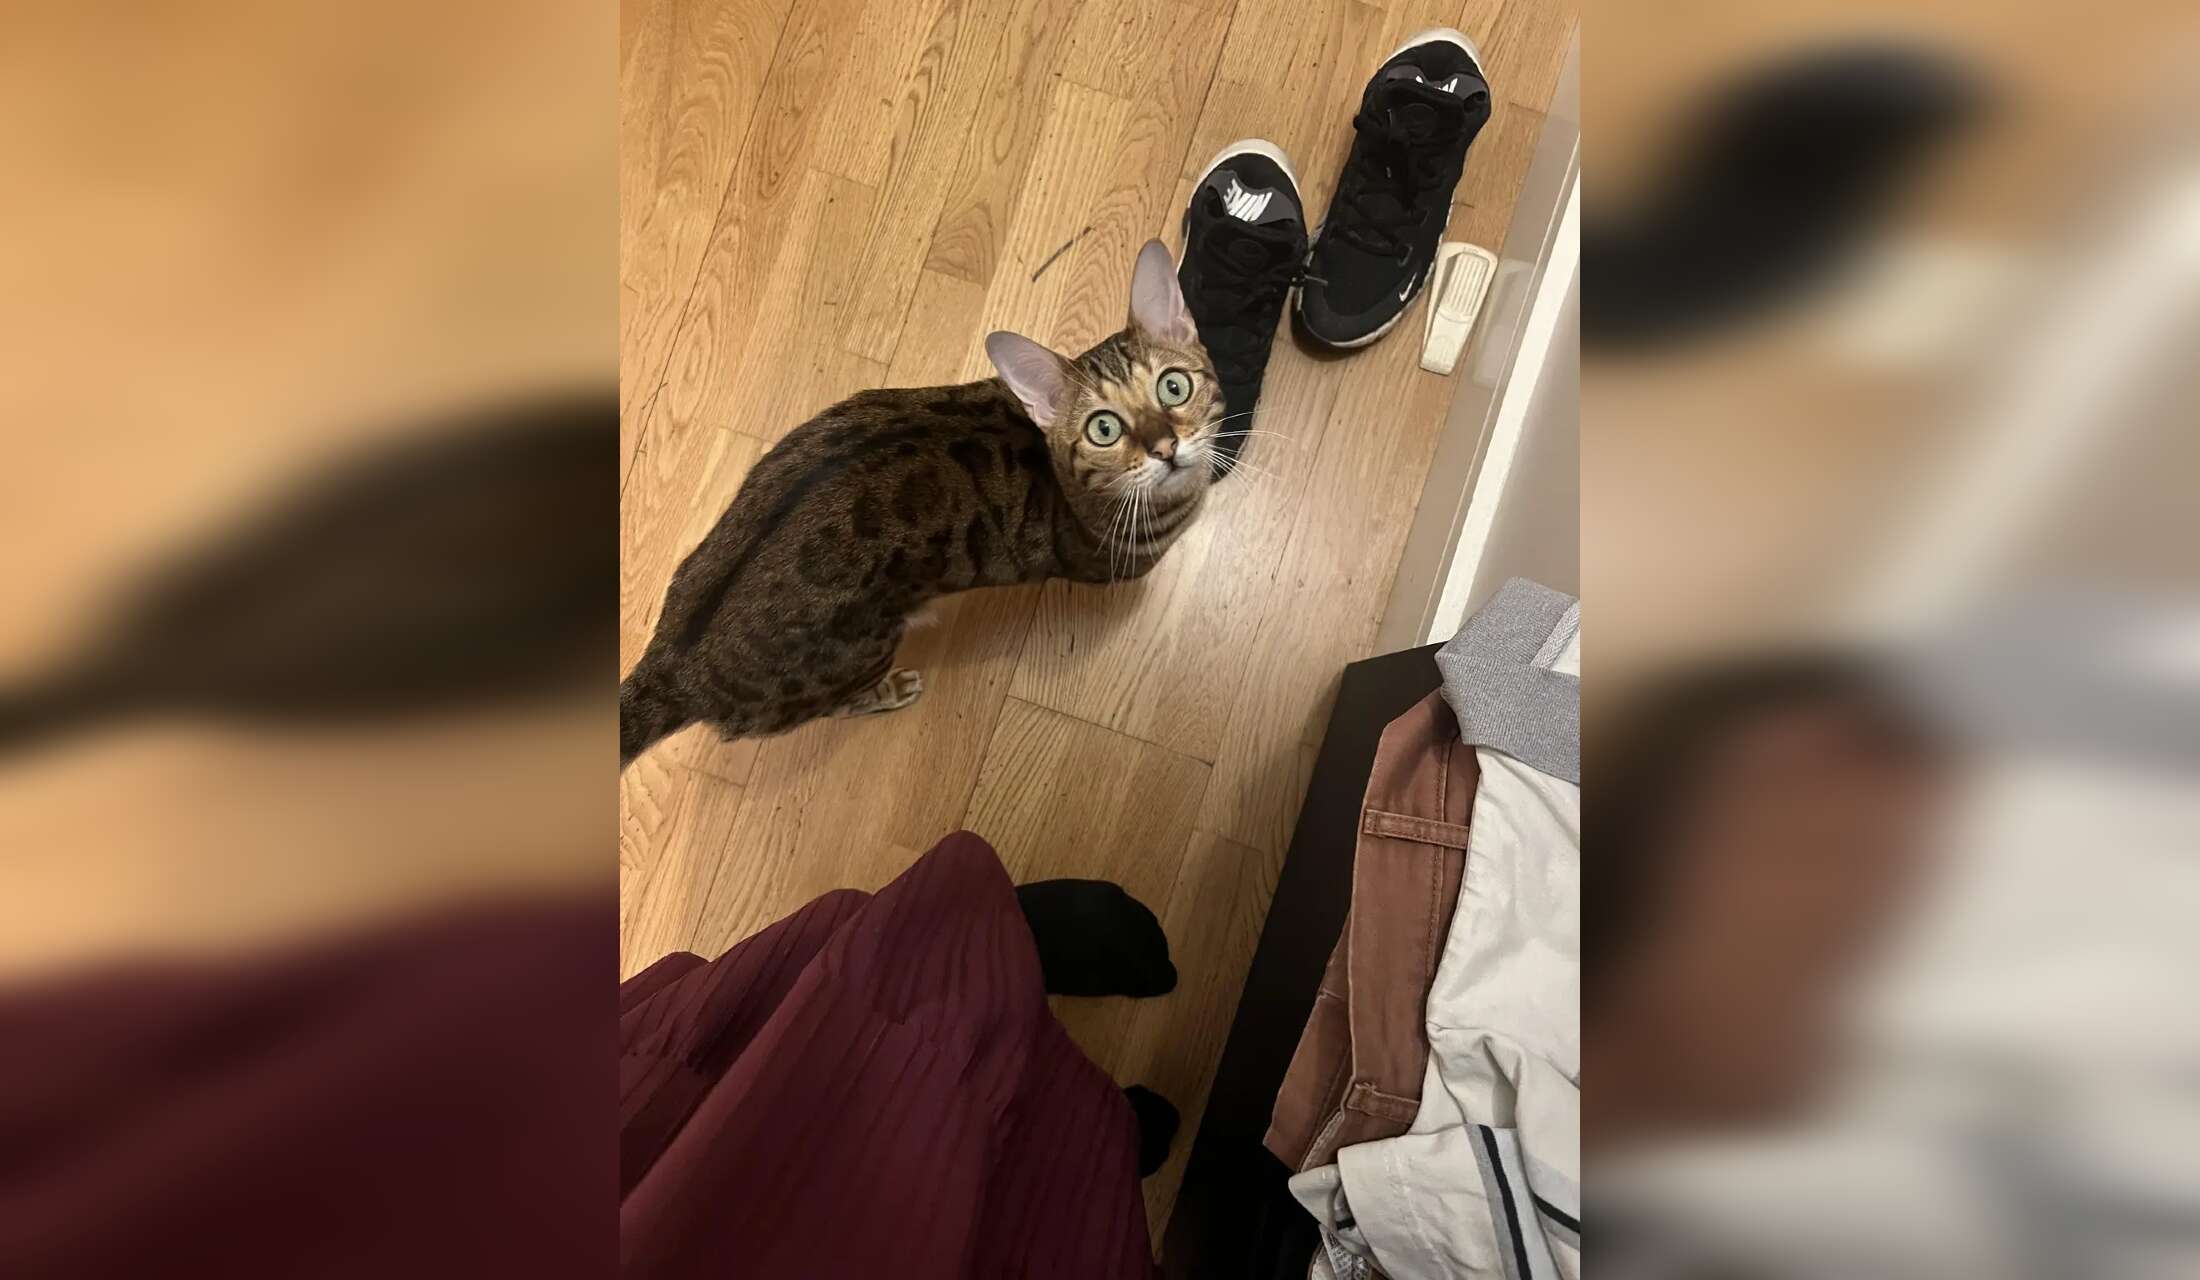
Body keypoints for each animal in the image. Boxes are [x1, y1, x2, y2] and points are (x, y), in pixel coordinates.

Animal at [620, 239, 1221, 767]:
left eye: (1173, 387)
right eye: (1104, 428)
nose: (1165, 447)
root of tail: (674, 668)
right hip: (854, 657)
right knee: (834, 707)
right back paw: (890, 690)